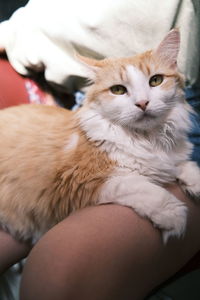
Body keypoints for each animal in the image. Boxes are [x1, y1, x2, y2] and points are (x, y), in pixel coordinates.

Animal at [0, 28, 200, 244]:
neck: (148, 140)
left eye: (156, 80)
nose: (142, 103)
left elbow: (184, 165)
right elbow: (139, 186)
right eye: (118, 90)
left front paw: (193, 181)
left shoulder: (170, 158)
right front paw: (172, 213)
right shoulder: (82, 183)